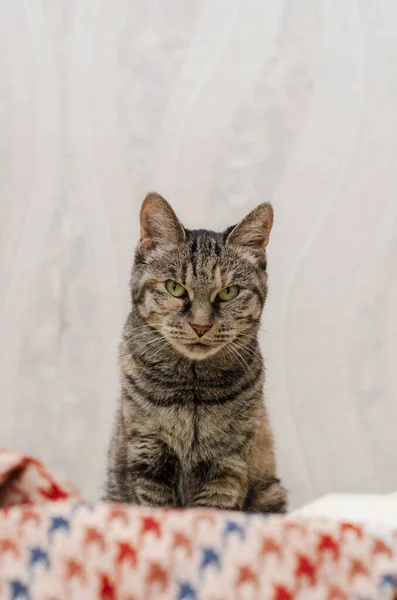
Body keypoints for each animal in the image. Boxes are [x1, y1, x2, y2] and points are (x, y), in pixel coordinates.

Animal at [103, 192, 286, 510]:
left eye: (228, 292)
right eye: (175, 288)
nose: (201, 325)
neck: (191, 388)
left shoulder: (228, 464)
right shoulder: (147, 456)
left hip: (270, 492)